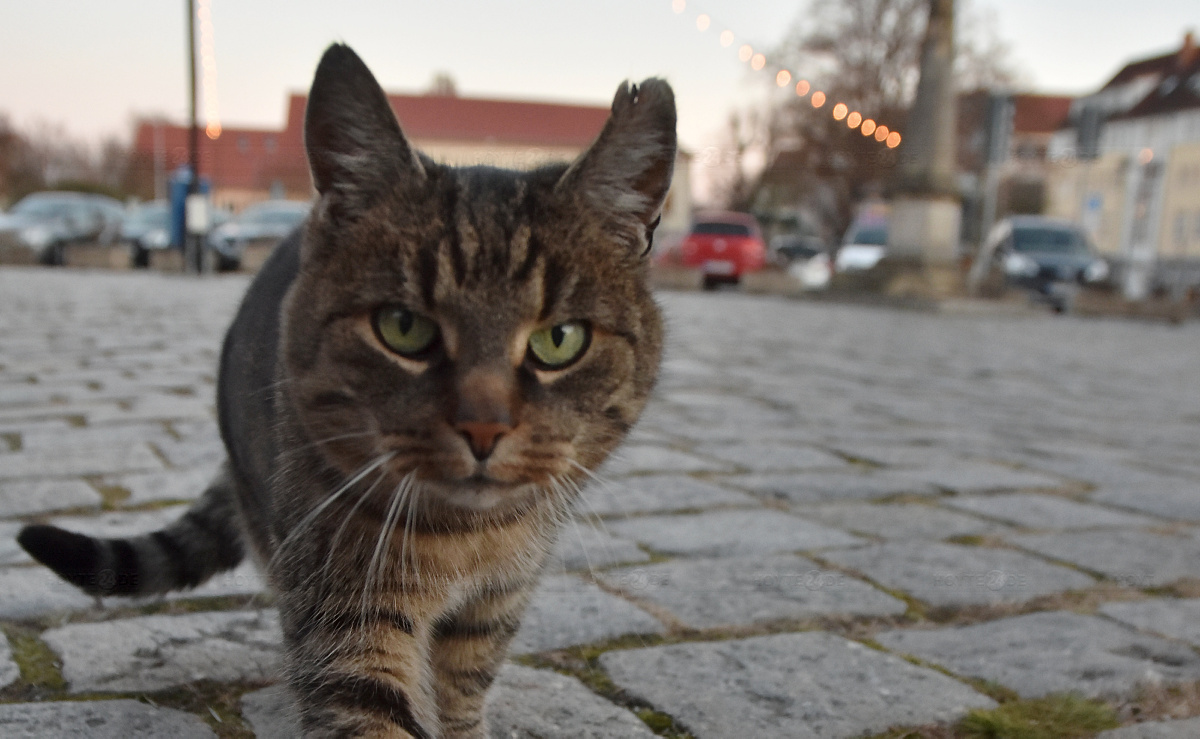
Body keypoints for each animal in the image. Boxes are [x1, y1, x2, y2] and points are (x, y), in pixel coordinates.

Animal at [16, 43, 676, 734]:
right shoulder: (347, 612)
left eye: (560, 339)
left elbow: (463, 694)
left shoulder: (492, 607)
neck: (467, 541)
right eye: (403, 327)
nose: (484, 427)